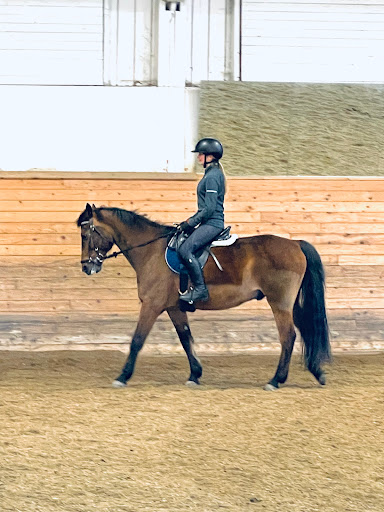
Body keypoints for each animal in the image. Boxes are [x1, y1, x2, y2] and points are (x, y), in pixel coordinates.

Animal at [77, 202, 330, 390]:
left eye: (85, 234)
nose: (87, 267)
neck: (151, 251)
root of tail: (295, 244)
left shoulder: (152, 305)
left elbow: (137, 340)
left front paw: (122, 376)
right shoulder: (174, 307)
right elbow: (186, 339)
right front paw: (195, 375)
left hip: (279, 303)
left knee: (288, 337)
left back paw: (276, 380)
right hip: (291, 304)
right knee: (306, 330)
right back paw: (317, 373)